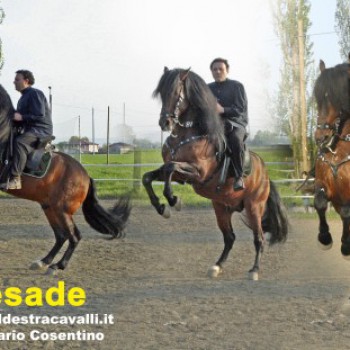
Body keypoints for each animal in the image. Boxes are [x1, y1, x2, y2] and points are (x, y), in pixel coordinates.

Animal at [0, 84, 131, 274]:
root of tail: (85, 176)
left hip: (62, 210)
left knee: (74, 236)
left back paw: (58, 266)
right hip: (50, 208)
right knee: (61, 236)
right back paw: (44, 261)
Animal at [142, 67, 288, 278]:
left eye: (177, 93)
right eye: (162, 93)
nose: (165, 123)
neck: (187, 135)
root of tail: (265, 174)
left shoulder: (197, 173)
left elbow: (169, 169)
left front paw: (173, 201)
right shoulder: (180, 174)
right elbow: (148, 177)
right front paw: (162, 208)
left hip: (254, 207)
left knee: (259, 238)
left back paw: (254, 270)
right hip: (221, 207)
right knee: (229, 237)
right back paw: (217, 266)